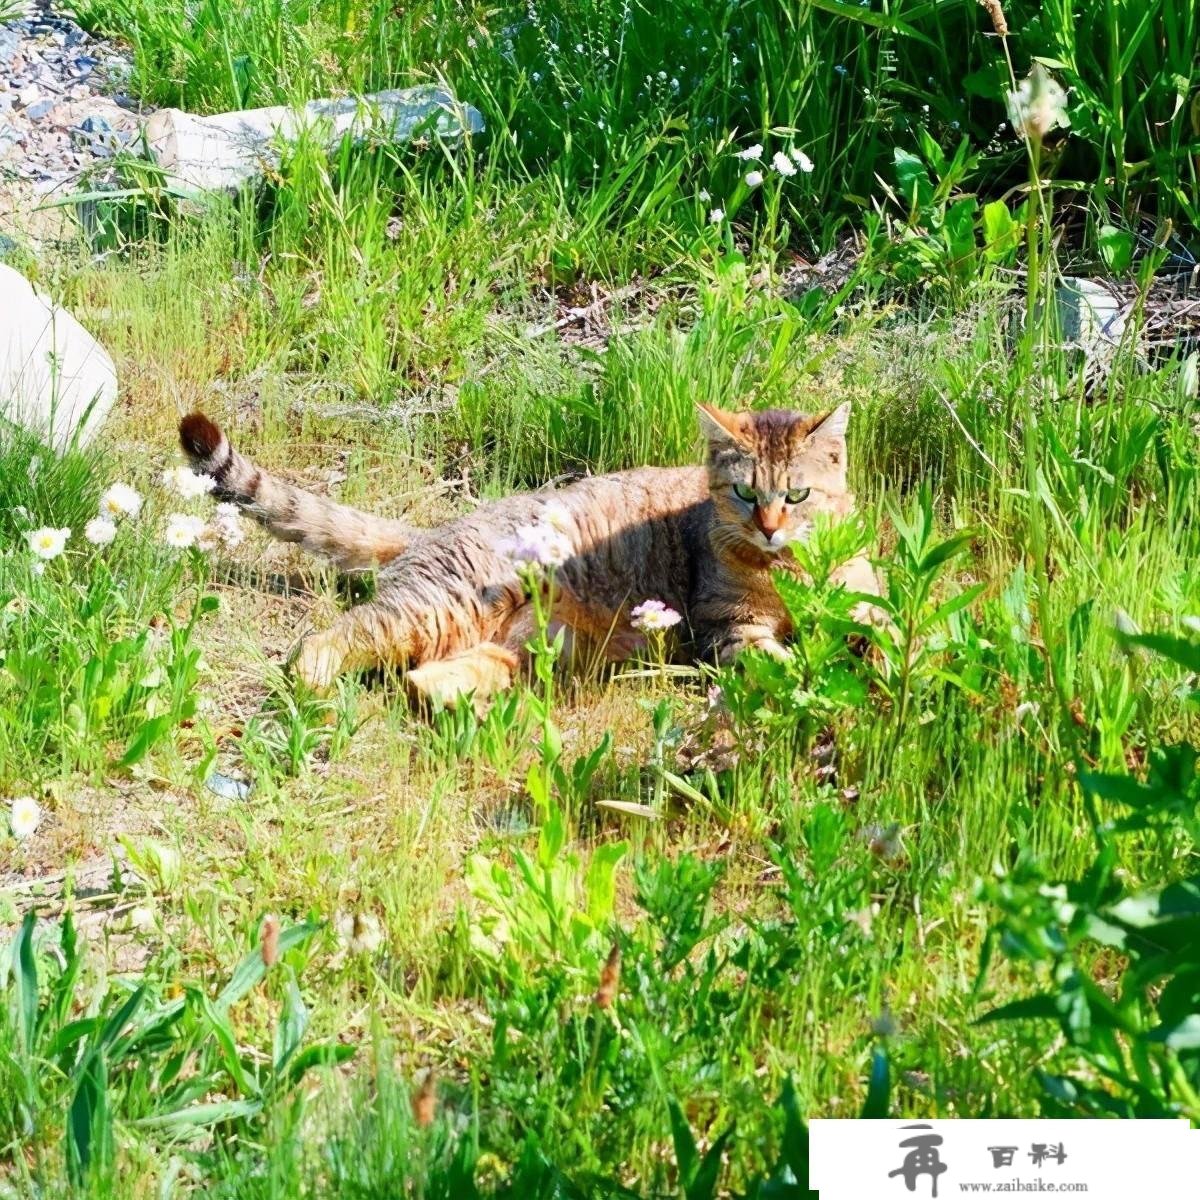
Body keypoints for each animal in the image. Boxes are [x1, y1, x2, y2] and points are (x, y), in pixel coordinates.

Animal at [177, 405, 878, 700]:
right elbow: (777, 661)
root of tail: (430, 531)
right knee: (325, 640)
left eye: (797, 494)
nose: (769, 527)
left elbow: (881, 623)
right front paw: (817, 677)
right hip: (440, 605)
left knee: (427, 677)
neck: (790, 569)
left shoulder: (864, 595)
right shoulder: (731, 628)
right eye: (743, 492)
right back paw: (316, 688)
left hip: (522, 647)